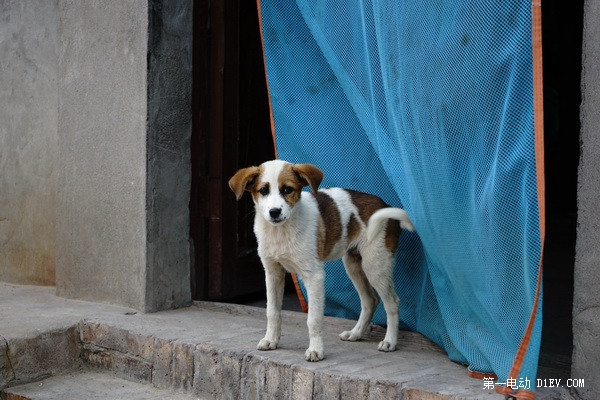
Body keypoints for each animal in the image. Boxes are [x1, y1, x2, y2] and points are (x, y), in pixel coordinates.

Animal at [227, 160, 414, 362]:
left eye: (287, 190)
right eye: (263, 190)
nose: (274, 212)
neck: (281, 231)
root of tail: (384, 204)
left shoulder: (314, 276)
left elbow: (314, 319)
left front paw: (316, 350)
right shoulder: (272, 273)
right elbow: (272, 311)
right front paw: (270, 340)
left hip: (375, 265)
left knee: (392, 302)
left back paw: (390, 341)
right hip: (354, 265)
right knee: (370, 300)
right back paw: (355, 334)